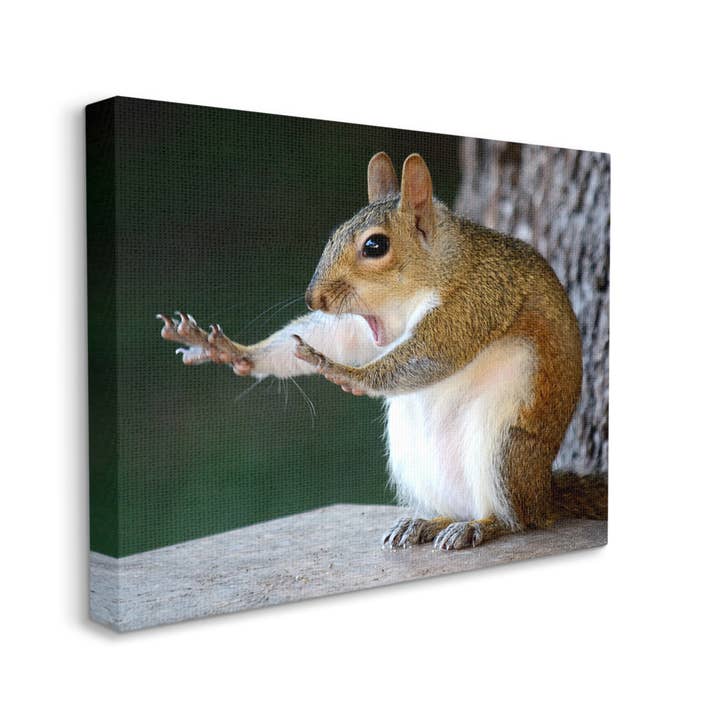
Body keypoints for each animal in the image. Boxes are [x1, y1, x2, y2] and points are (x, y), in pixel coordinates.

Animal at [157, 151, 607, 550]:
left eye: (375, 246)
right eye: (334, 234)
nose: (313, 298)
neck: (437, 269)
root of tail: (544, 495)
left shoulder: (477, 300)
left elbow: (433, 354)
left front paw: (343, 372)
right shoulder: (364, 326)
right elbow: (338, 337)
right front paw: (229, 350)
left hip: (503, 450)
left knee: (515, 519)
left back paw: (479, 526)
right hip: (414, 457)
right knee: (453, 507)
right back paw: (425, 522)